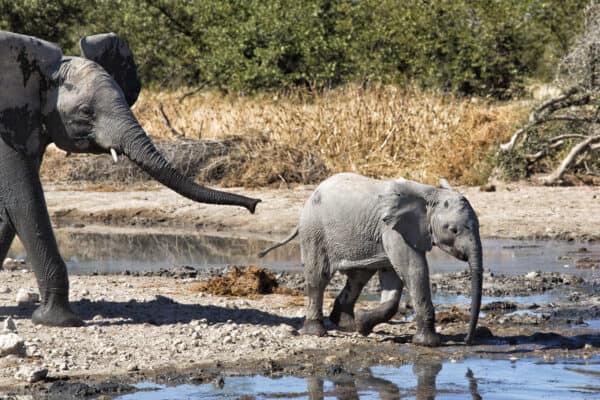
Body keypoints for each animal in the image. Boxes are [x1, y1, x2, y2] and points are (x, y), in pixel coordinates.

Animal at [1, 30, 260, 324]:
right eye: (86, 112)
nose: (254, 205)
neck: (43, 73)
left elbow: (7, 208)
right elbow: (23, 199)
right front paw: (58, 322)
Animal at [260, 173, 486, 346]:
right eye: (453, 230)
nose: (467, 341)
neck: (430, 193)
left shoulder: (395, 230)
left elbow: (393, 279)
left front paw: (363, 324)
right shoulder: (393, 229)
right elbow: (414, 270)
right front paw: (429, 344)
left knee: (358, 278)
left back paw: (347, 325)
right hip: (314, 231)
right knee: (318, 277)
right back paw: (317, 332)